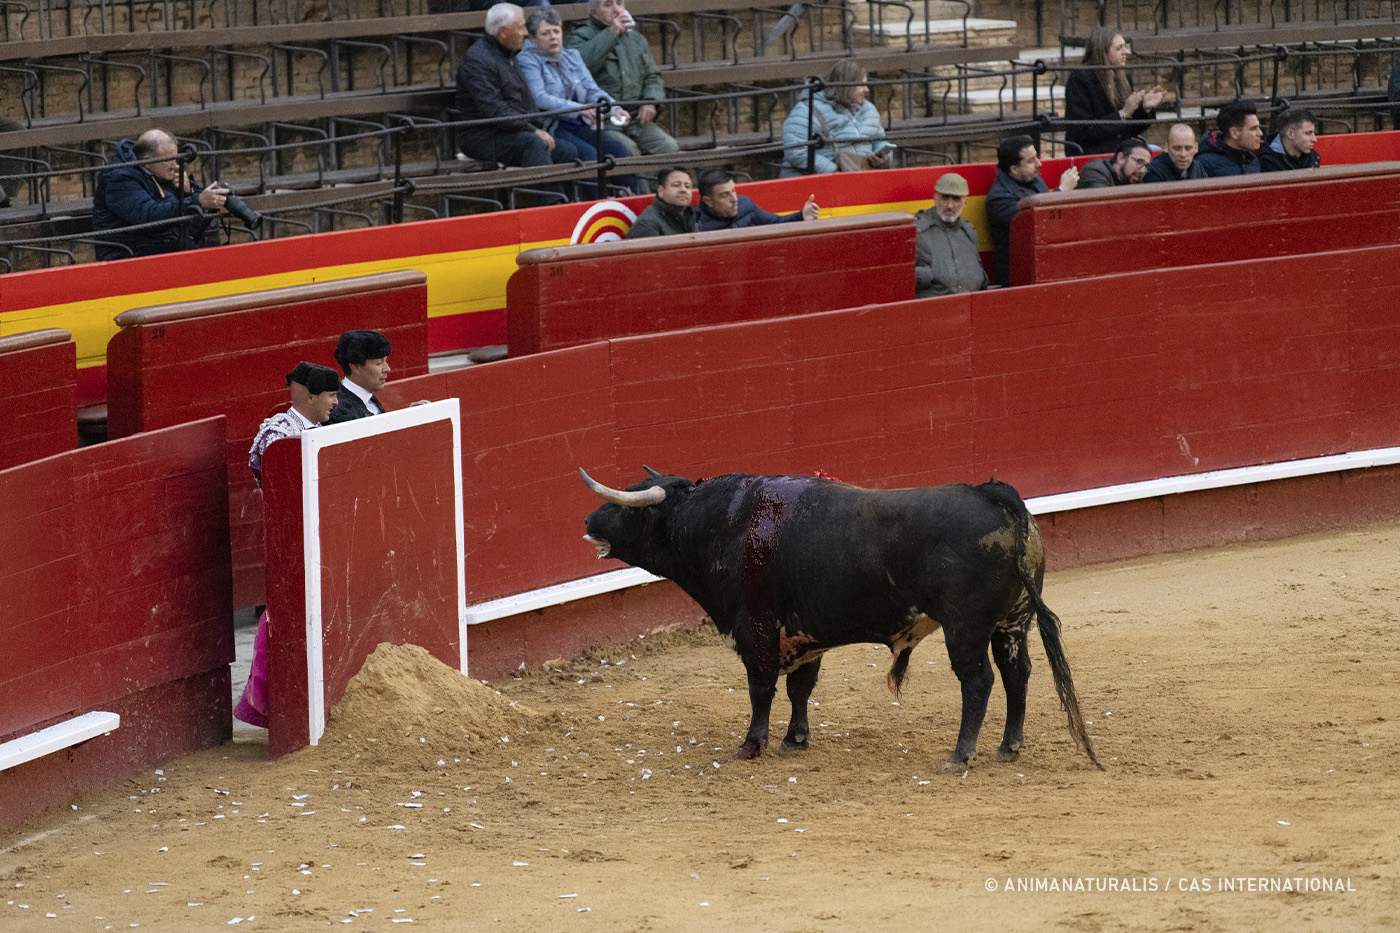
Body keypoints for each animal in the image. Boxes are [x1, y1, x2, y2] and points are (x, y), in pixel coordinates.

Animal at [582, 467, 1103, 767]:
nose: (587, 521)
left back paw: (961, 755)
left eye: (626, 508)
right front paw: (795, 739)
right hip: (1012, 623)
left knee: (979, 682)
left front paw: (752, 746)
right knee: (1018, 675)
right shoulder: (803, 634)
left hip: (966, 627)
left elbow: (761, 688)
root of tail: (995, 495)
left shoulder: (756, 627)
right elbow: (800, 687)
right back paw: (1007, 748)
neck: (723, 524)